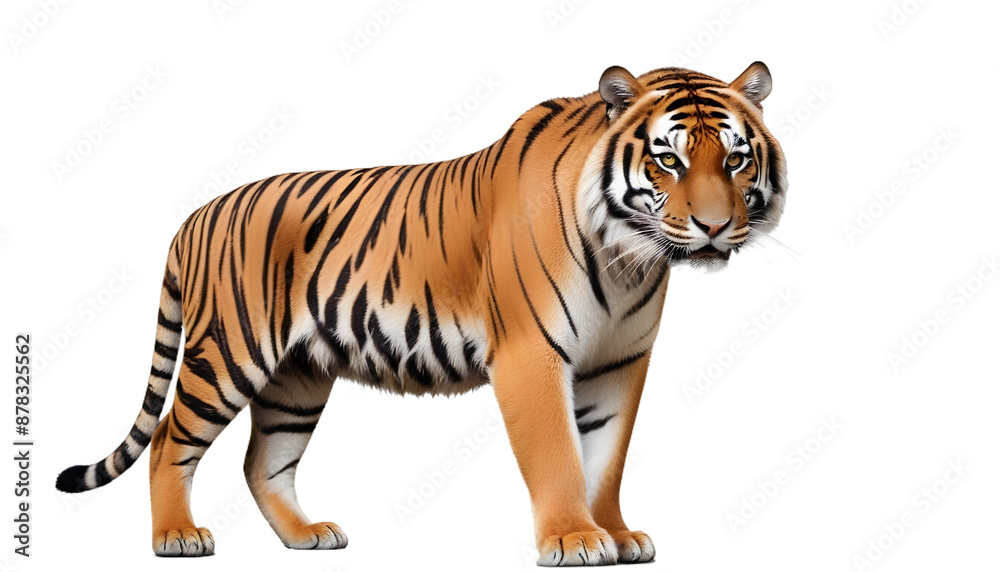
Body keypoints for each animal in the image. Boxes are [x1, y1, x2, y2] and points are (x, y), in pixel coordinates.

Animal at [56, 61, 786, 566]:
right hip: (230, 353)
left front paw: (614, 532)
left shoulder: (619, 362)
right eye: (668, 160)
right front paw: (574, 540)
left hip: (296, 378)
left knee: (263, 462)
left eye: (735, 158)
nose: (716, 227)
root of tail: (196, 214)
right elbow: (559, 453)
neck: (629, 257)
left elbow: (606, 454)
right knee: (168, 440)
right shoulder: (531, 354)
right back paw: (176, 536)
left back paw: (307, 536)